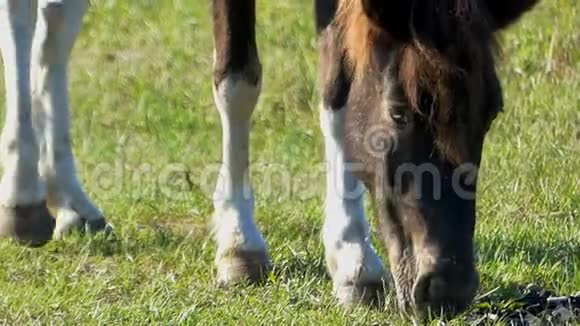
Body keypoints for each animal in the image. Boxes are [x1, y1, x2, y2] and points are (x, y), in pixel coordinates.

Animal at [0, 0, 536, 318]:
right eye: (400, 111)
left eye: (492, 110)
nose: (448, 285)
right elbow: (237, 80)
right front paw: (240, 246)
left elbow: (337, 89)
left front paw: (353, 259)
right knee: (25, 20)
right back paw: (24, 199)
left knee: (56, 26)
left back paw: (73, 203)